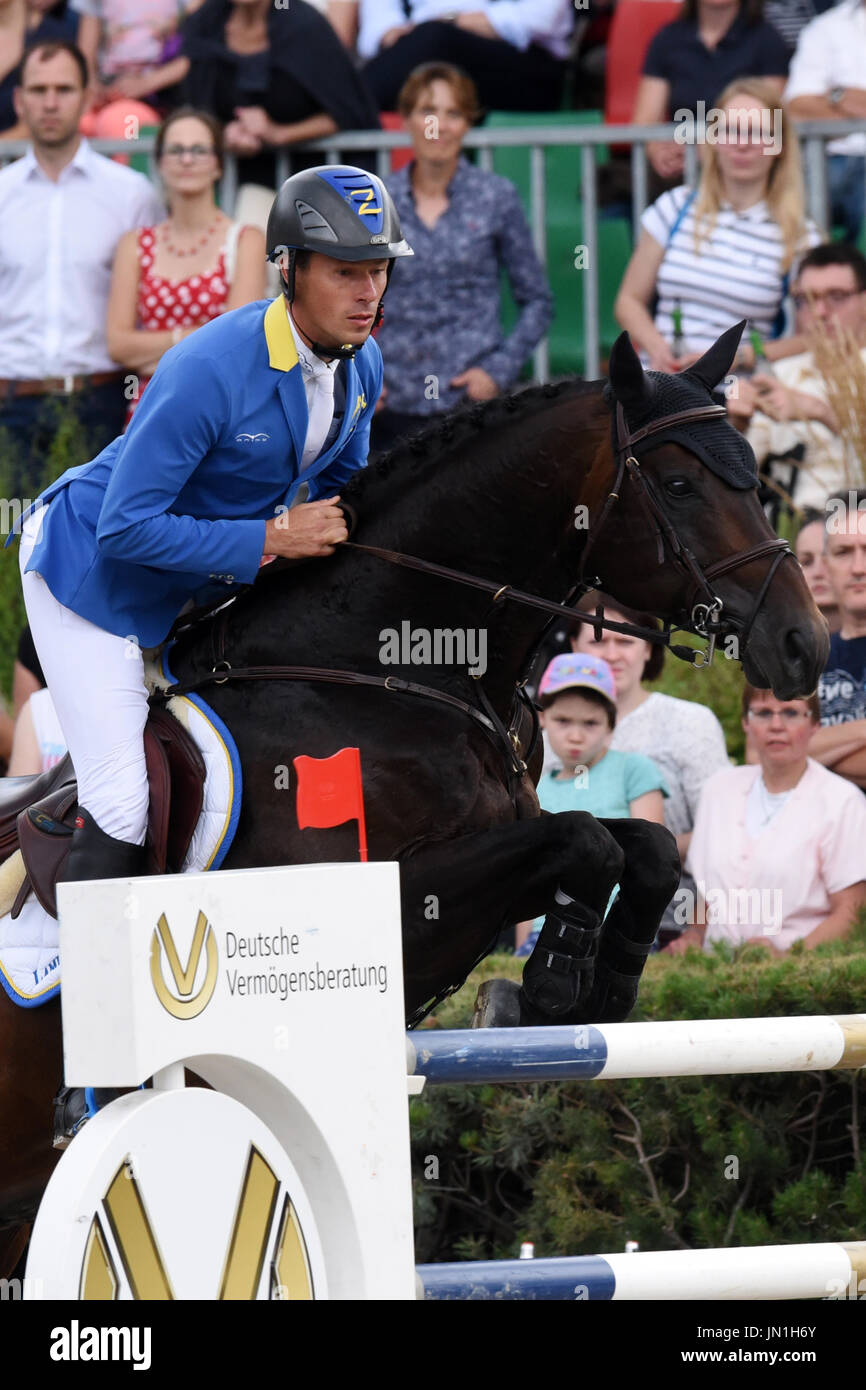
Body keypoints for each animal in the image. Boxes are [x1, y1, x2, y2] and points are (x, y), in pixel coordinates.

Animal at [0, 322, 828, 1262]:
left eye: (756, 477)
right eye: (682, 484)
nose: (803, 646)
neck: (385, 670)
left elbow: (638, 844)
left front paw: (599, 985)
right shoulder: (381, 905)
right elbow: (586, 841)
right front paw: (548, 987)